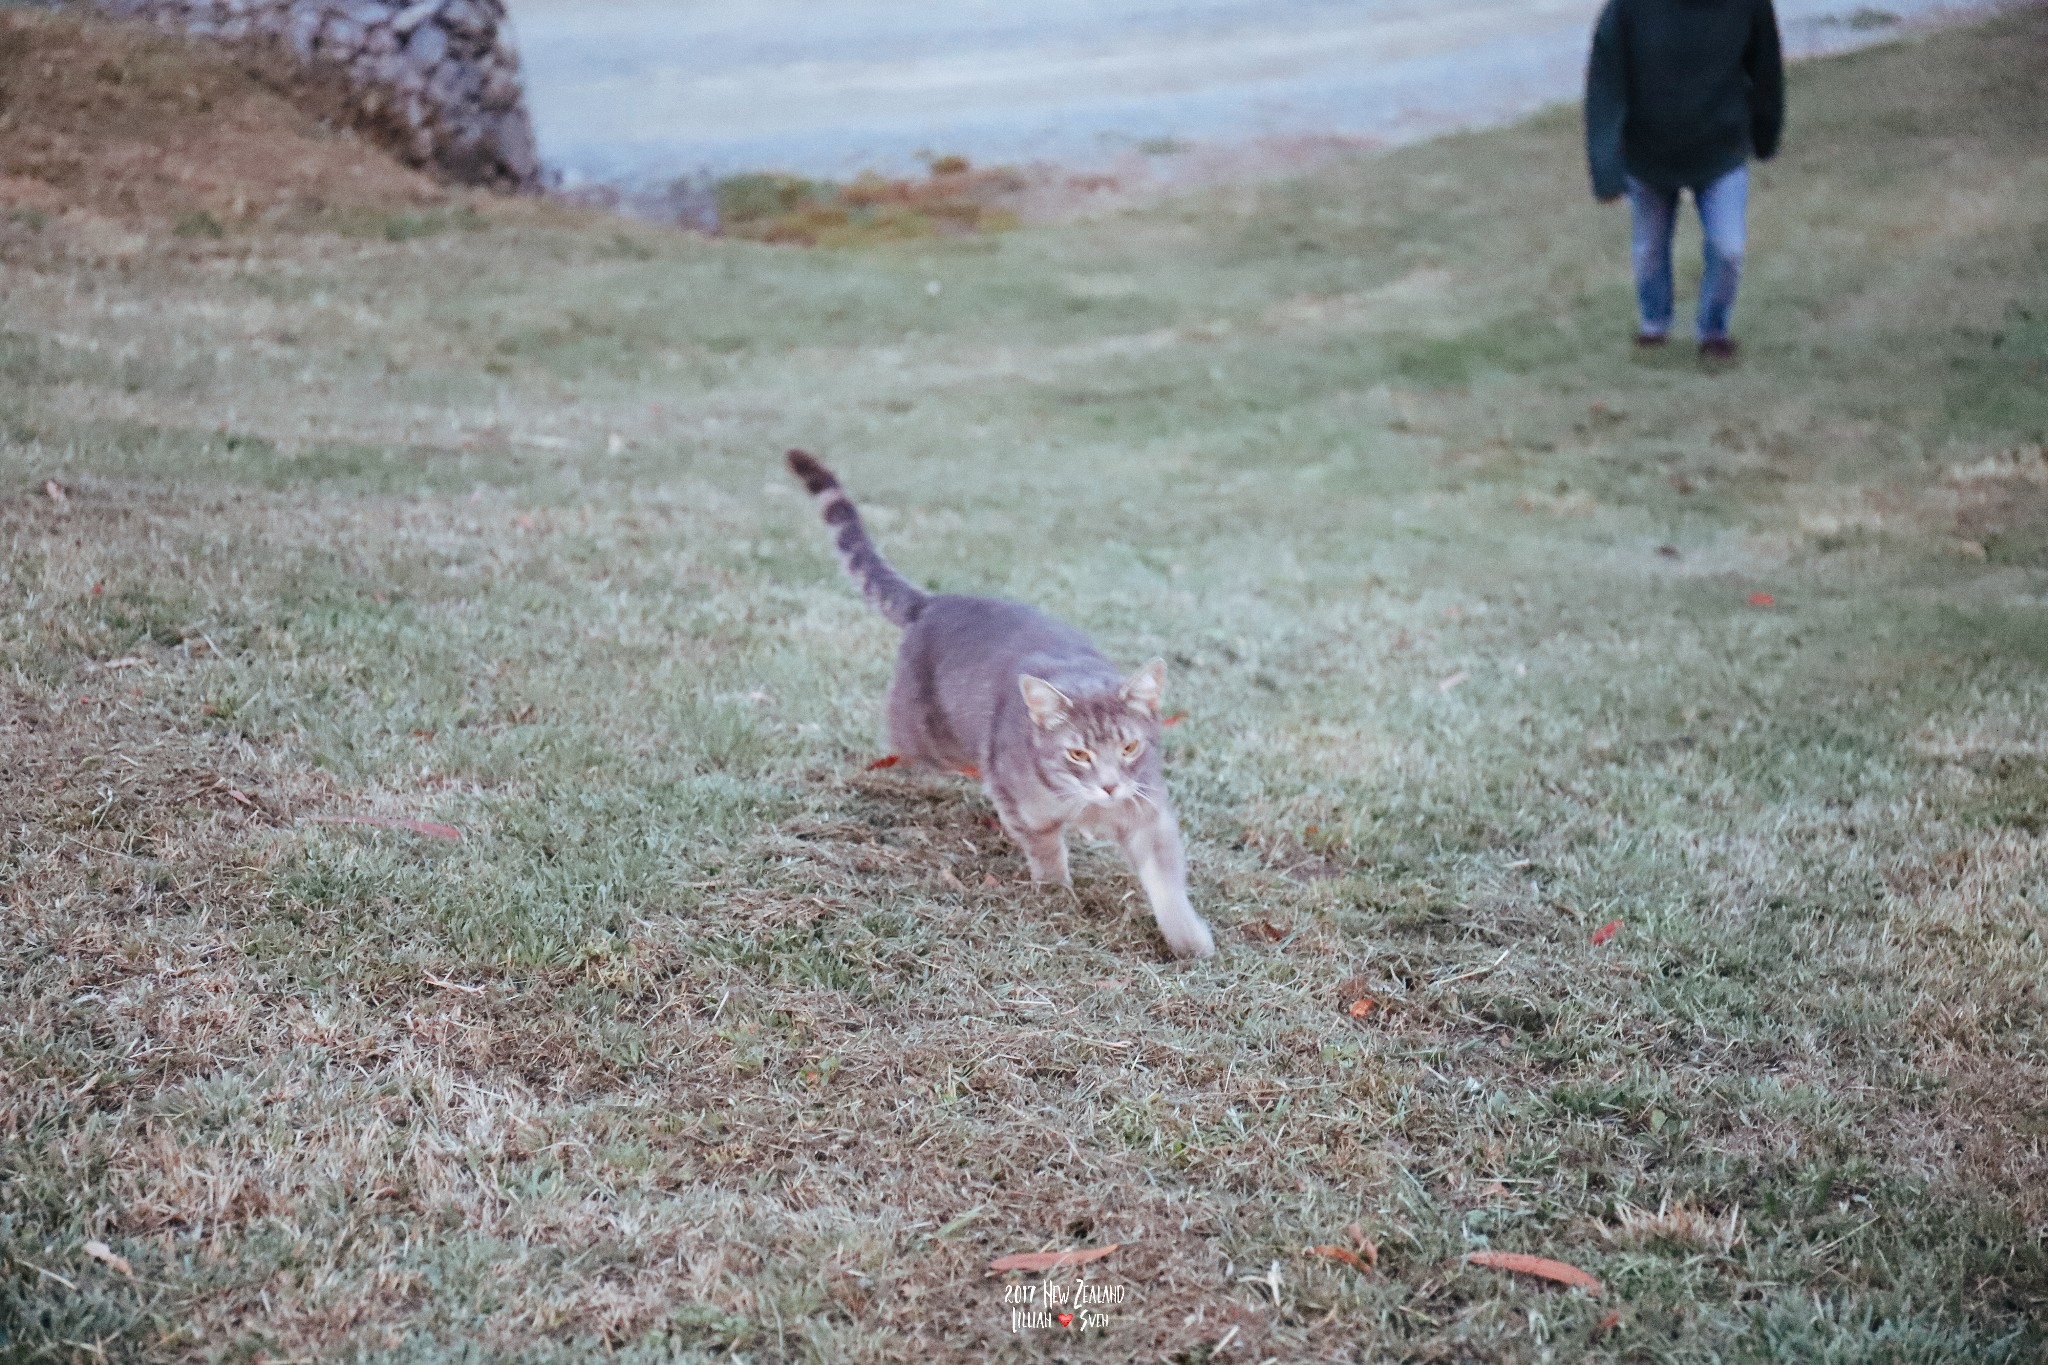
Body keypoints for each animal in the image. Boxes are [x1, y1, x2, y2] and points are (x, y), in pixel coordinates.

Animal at [786, 448, 1212, 961]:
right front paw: (1057, 896)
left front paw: (1188, 938)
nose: (1109, 786)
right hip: (927, 738)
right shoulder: (1024, 808)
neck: (1089, 807)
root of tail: (936, 602)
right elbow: (1046, 852)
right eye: (1078, 753)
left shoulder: (1149, 812)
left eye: (1129, 748)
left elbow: (1167, 879)